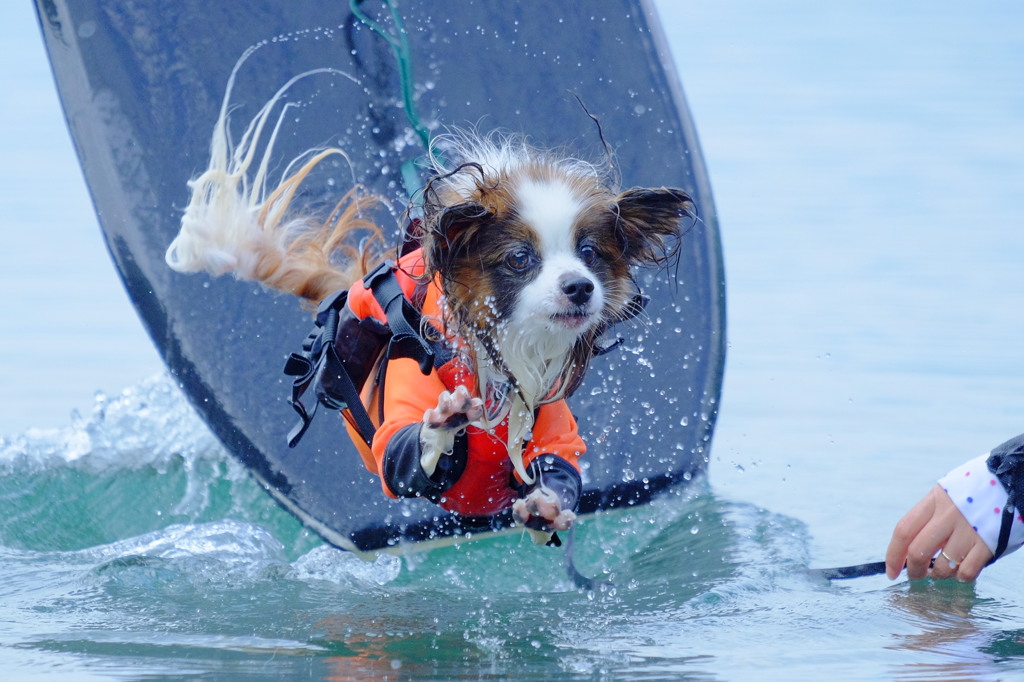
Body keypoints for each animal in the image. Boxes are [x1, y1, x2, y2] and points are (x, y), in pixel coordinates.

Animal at [165, 70, 696, 540]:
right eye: (521, 259)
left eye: (589, 254)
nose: (580, 287)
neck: (499, 355)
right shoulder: (399, 428)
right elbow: (409, 449)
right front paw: (444, 420)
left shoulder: (553, 429)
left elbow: (557, 472)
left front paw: (546, 506)